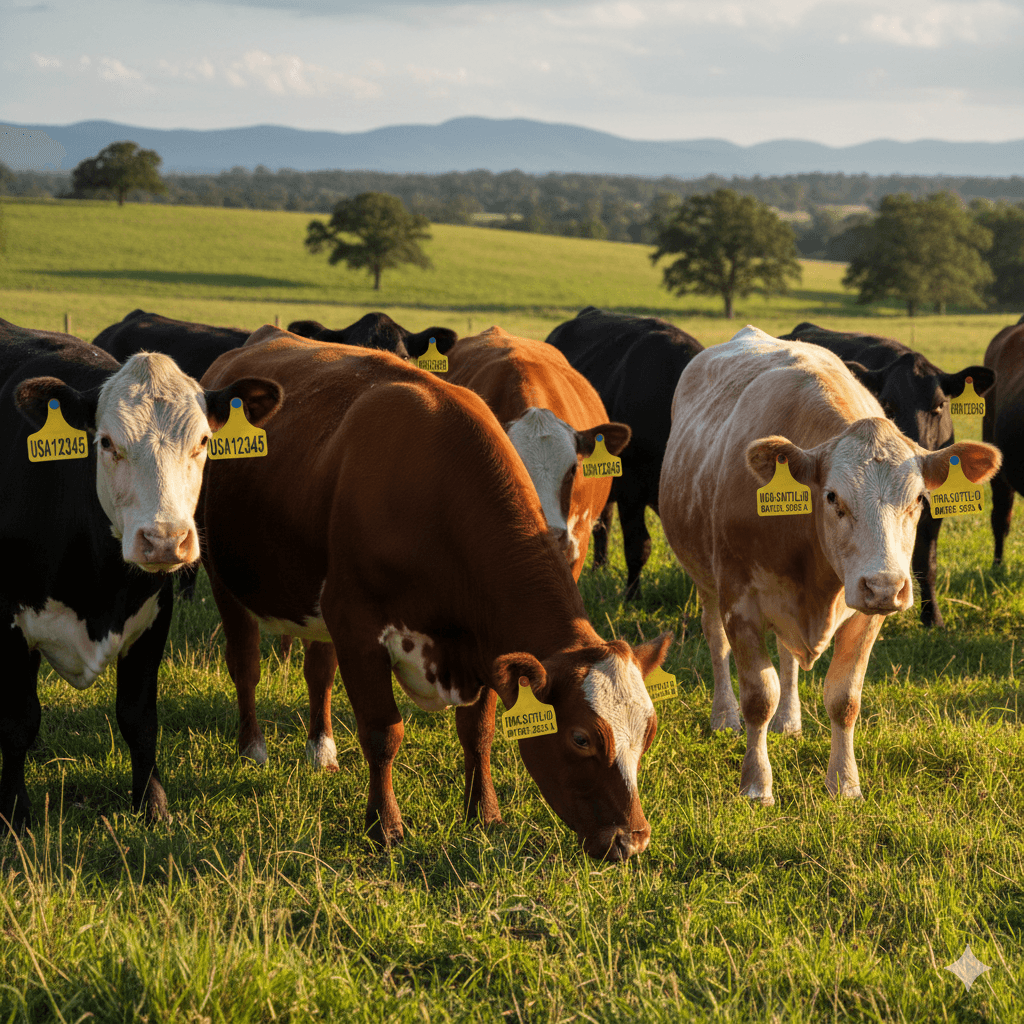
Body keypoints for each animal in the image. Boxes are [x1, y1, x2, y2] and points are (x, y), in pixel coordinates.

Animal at [0, 317, 280, 832]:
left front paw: (152, 804)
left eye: (204, 442)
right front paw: (14, 813)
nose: (166, 539)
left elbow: (139, 718)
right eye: (107, 442)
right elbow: (19, 721)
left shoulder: (153, 616)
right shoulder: (8, 619)